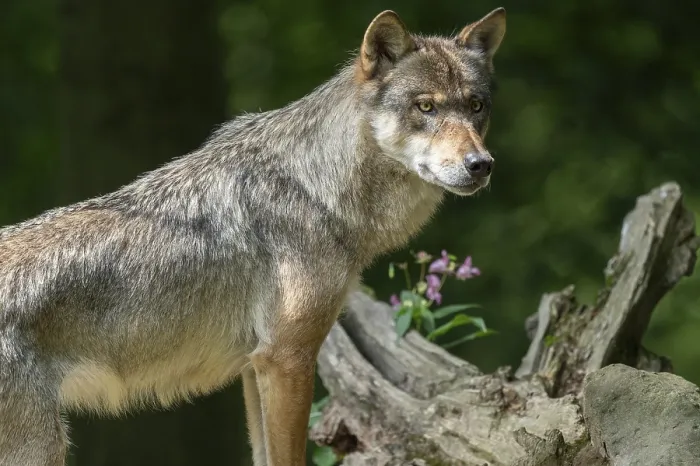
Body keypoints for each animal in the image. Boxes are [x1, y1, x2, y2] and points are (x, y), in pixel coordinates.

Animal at [0, 7, 506, 466]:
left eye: (476, 107)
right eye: (426, 107)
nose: (481, 165)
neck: (317, 188)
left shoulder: (252, 366)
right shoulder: (286, 360)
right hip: (43, 449)